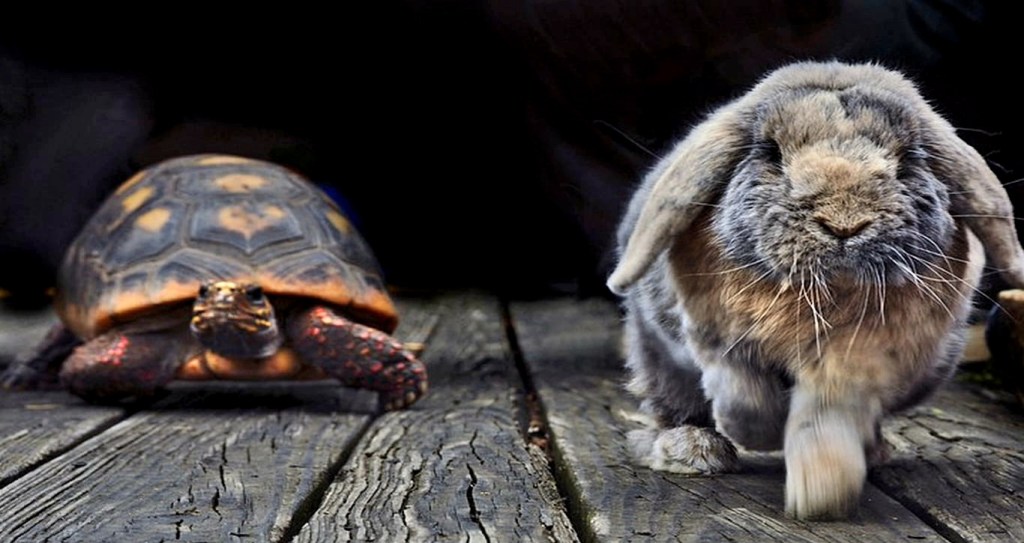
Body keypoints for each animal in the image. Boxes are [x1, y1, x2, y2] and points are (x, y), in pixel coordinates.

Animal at [607, 60, 1024, 520]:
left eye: (908, 159)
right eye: (771, 153)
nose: (844, 223)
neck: (821, 297)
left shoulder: (858, 364)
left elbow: (827, 415)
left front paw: (821, 491)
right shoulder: (717, 341)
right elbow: (746, 396)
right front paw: (760, 437)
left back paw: (873, 452)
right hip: (659, 359)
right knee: (675, 403)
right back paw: (694, 450)